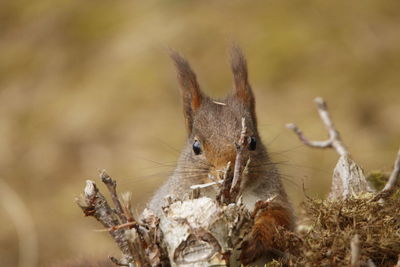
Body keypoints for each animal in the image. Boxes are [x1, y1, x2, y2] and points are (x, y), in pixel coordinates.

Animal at [147, 46, 294, 266]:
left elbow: (279, 220)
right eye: (196, 146)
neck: (229, 200)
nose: (229, 173)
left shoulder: (273, 198)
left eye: (252, 142)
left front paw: (255, 241)